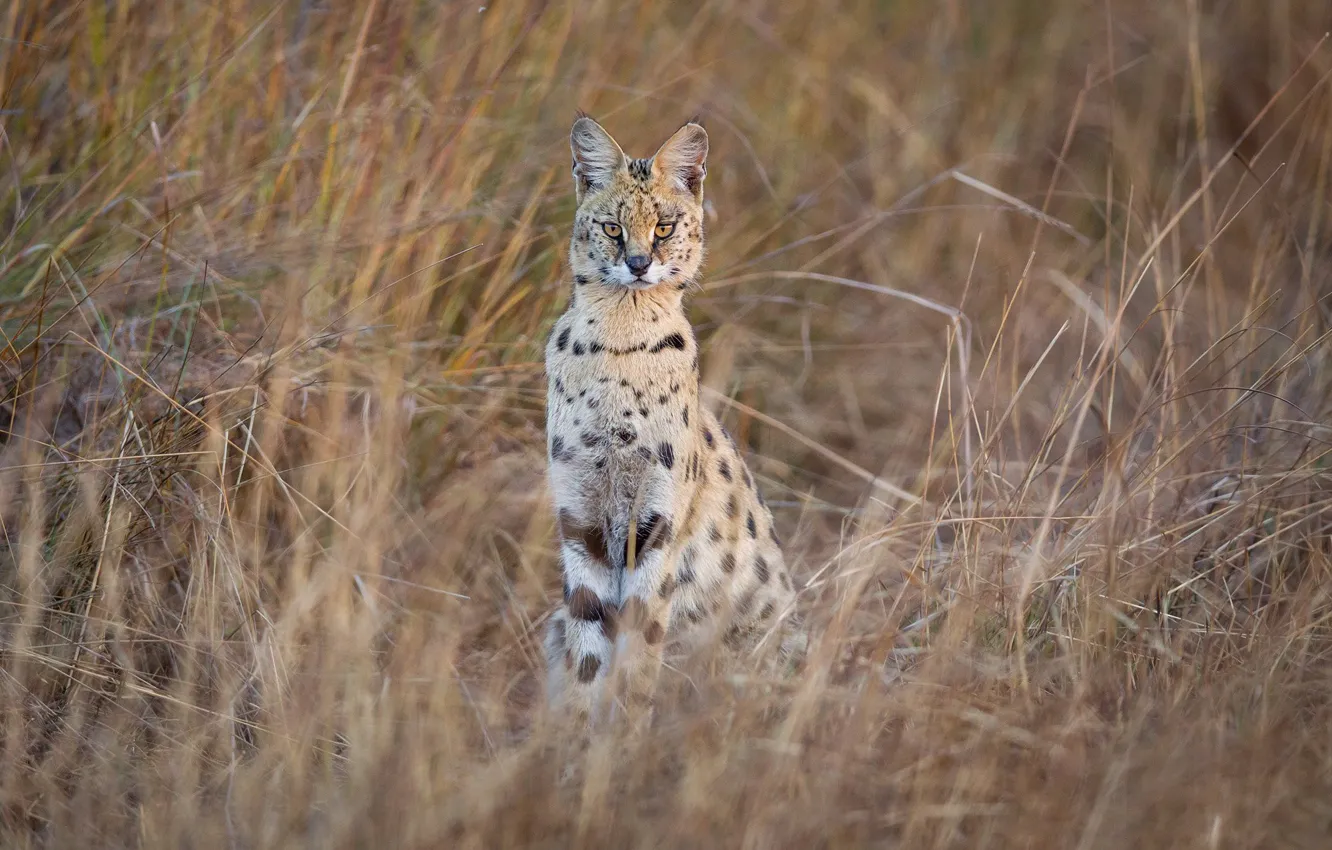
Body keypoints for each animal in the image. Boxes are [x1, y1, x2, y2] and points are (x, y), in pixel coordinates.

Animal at [543, 114, 799, 724]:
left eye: (663, 227)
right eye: (612, 228)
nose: (639, 263)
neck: (619, 343)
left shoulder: (658, 521)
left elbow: (640, 649)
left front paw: (626, 736)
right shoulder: (579, 517)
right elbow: (587, 649)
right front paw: (576, 738)